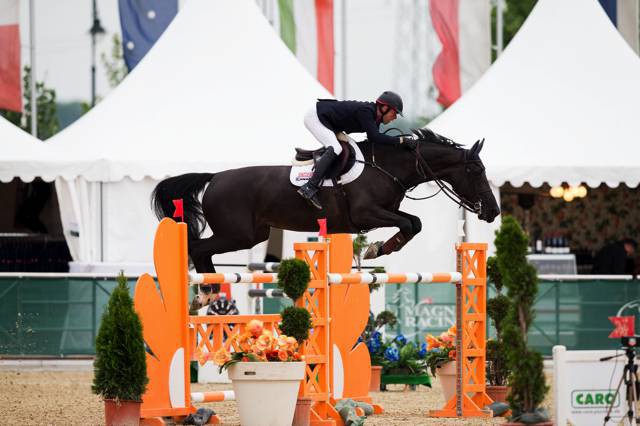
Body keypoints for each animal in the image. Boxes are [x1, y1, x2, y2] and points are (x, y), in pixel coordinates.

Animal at [151, 127, 500, 272]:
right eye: (476, 170)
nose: (494, 212)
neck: (388, 166)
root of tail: (214, 177)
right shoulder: (366, 213)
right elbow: (410, 224)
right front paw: (377, 249)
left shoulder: (385, 211)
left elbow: (413, 223)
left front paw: (380, 249)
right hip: (237, 234)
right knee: (198, 248)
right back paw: (207, 291)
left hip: (253, 234)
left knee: (201, 250)